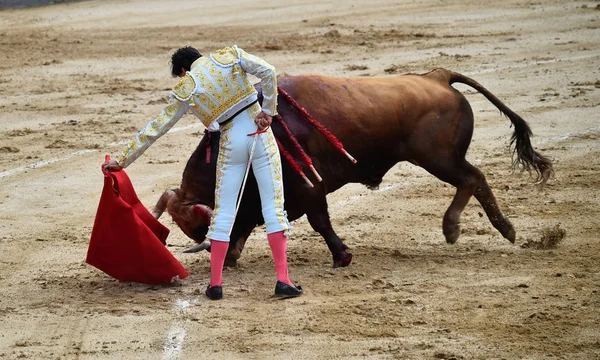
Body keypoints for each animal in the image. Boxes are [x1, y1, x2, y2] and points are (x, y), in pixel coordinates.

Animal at [152, 68, 552, 268]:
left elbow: (319, 222)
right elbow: (249, 221)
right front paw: (231, 256)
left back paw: (453, 228)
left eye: (196, 226)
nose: (205, 247)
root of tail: (436, 76)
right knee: (477, 179)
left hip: (438, 158)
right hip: (441, 158)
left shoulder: (308, 189)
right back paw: (506, 230)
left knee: (471, 178)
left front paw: (342, 256)